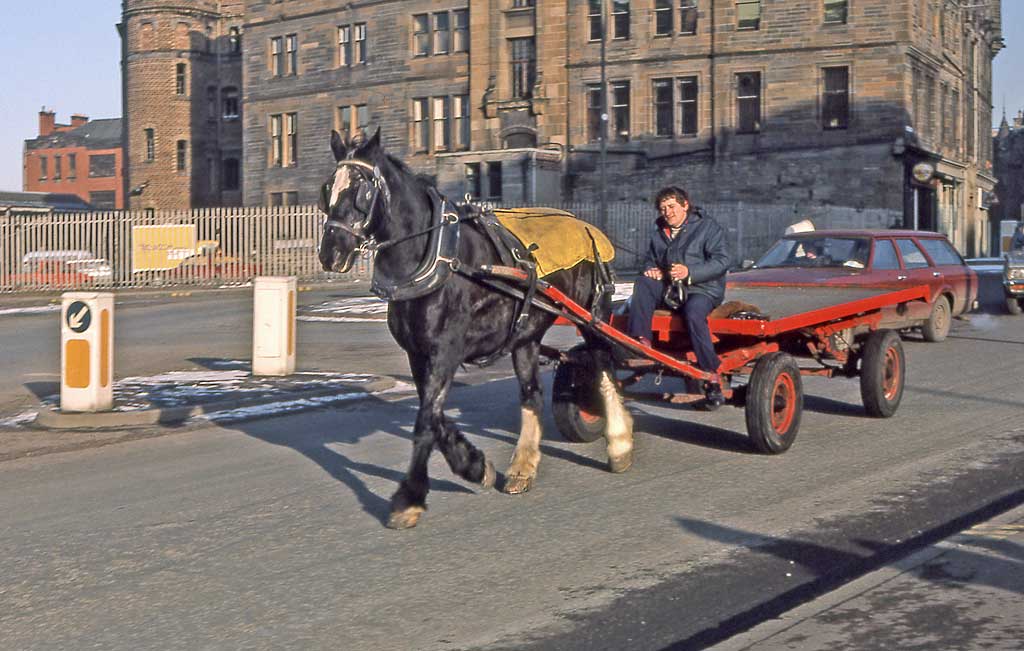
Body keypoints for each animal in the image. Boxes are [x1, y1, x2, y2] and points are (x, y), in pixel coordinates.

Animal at [317, 129, 630, 532]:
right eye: (327, 188)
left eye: (360, 190)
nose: (331, 253)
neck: (437, 258)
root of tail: (586, 225)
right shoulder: (419, 354)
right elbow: (434, 415)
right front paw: (475, 465)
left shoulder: (446, 351)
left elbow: (425, 421)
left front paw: (409, 499)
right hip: (526, 337)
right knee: (532, 393)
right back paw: (522, 467)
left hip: (592, 315)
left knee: (603, 365)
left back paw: (619, 444)